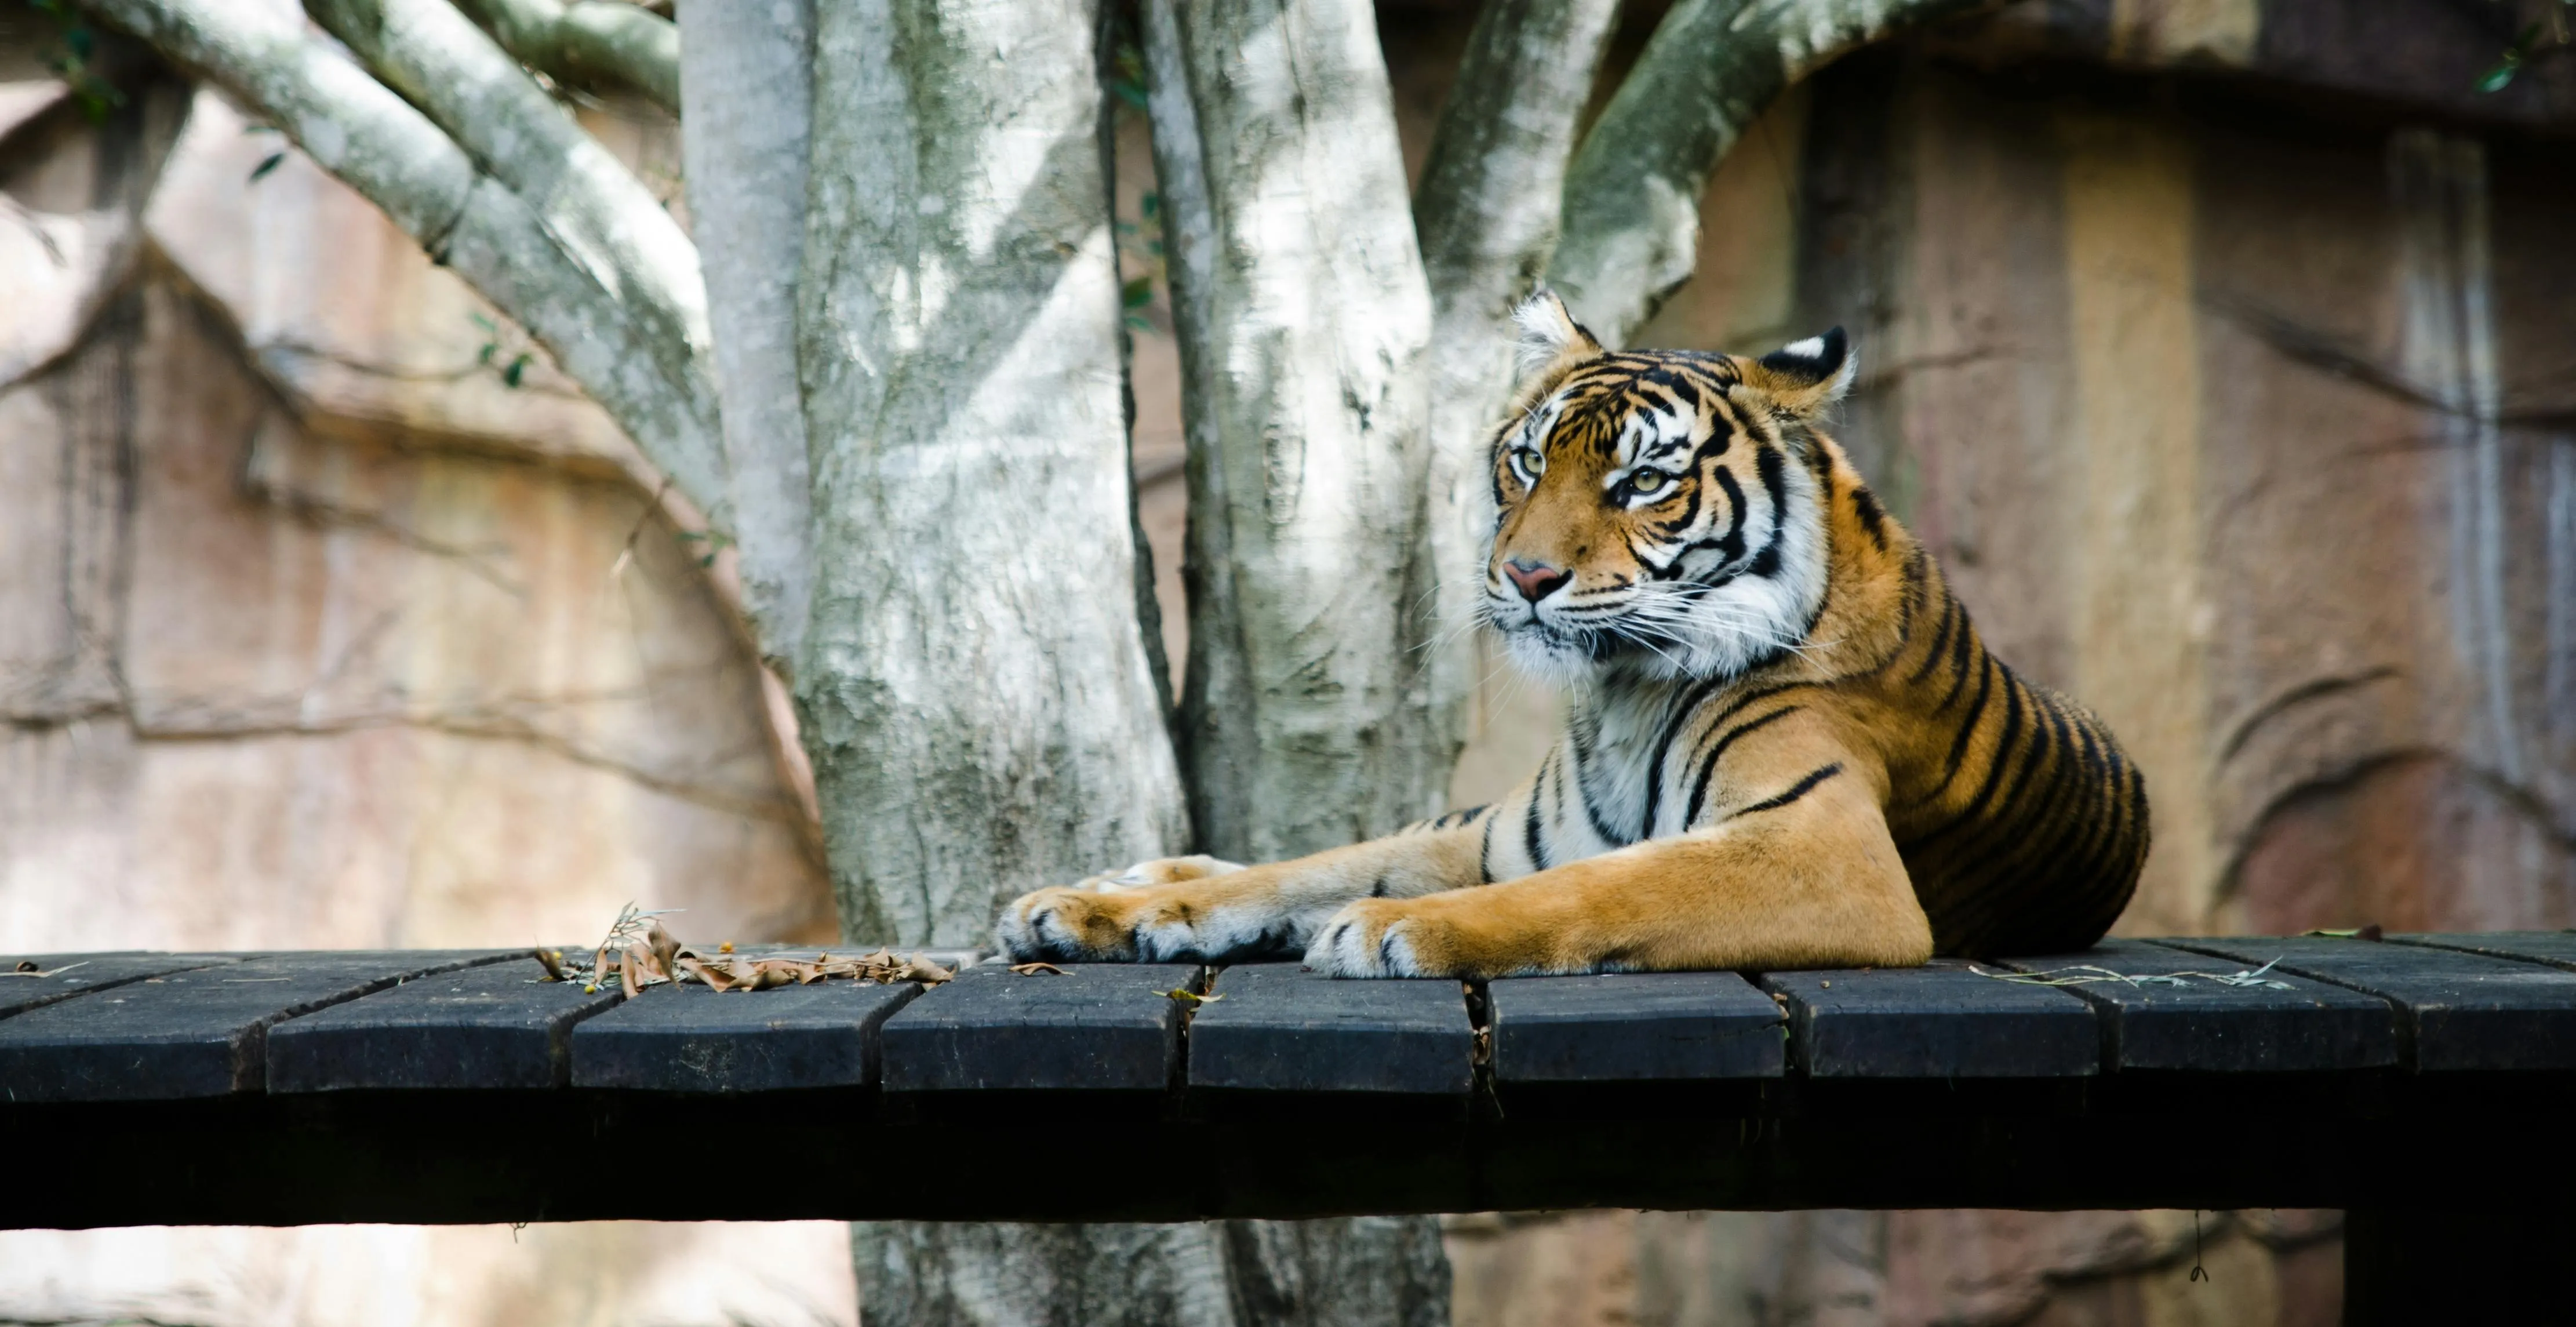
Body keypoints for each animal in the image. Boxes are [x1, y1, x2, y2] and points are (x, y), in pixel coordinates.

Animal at [997, 292, 2148, 978]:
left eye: (1640, 482)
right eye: (1526, 462)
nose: (1526, 576)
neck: (1624, 693)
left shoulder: (1825, 850)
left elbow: (1595, 884)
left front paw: (1391, 928)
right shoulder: (1497, 833)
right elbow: (1302, 868)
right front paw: (1087, 910)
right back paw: (1128, 882)